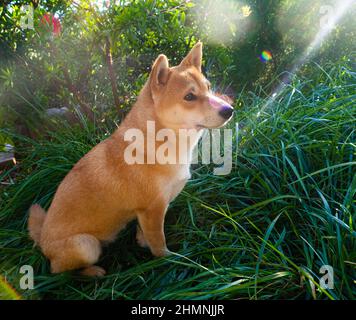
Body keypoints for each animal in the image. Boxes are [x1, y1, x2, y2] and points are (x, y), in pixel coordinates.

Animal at [27, 42, 234, 276]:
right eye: (189, 96)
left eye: (208, 87)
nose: (229, 110)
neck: (160, 141)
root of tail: (43, 239)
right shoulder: (152, 209)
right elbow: (159, 243)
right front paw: (168, 261)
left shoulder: (151, 211)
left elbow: (146, 234)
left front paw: (142, 242)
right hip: (85, 245)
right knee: (60, 270)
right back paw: (93, 272)